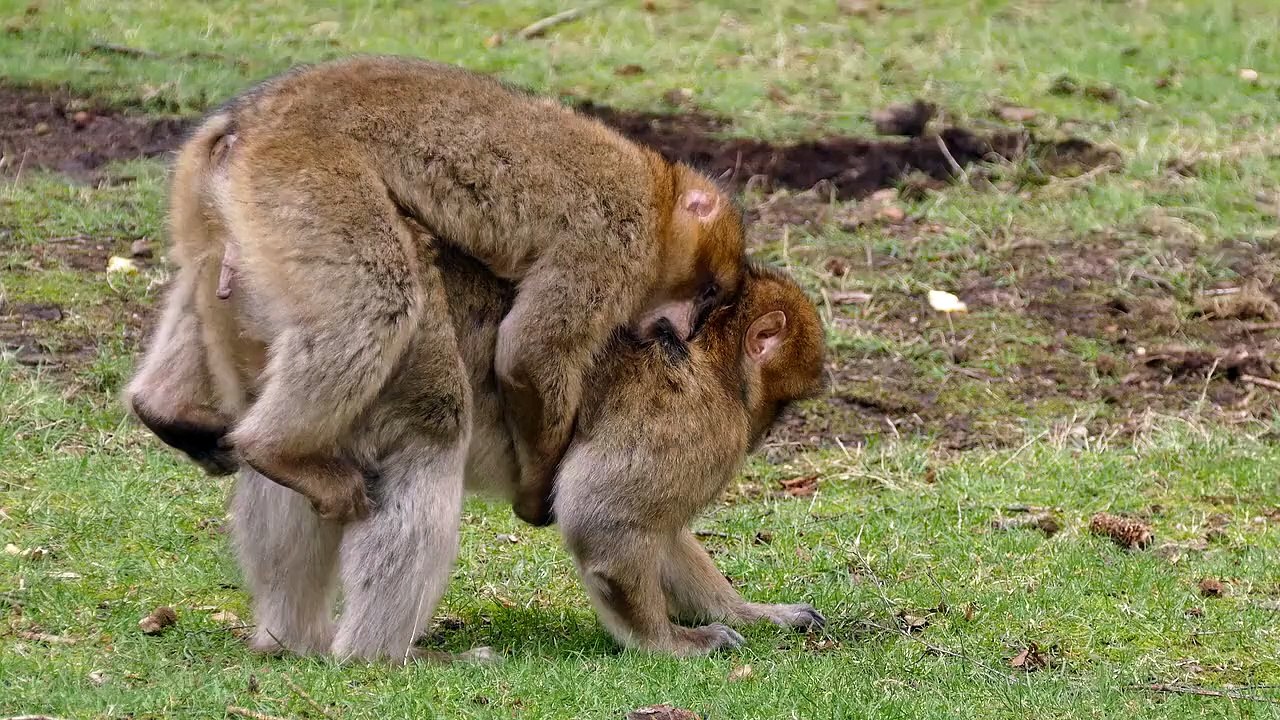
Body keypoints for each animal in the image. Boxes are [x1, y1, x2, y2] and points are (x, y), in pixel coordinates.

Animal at [126, 55, 746, 527]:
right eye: (709, 292)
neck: (658, 197)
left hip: (219, 197)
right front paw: (538, 487)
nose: (683, 329)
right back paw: (273, 451)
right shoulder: (612, 246)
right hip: (300, 173)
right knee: (376, 297)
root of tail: (246, 119)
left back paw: (163, 406)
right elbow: (528, 351)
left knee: (208, 275)